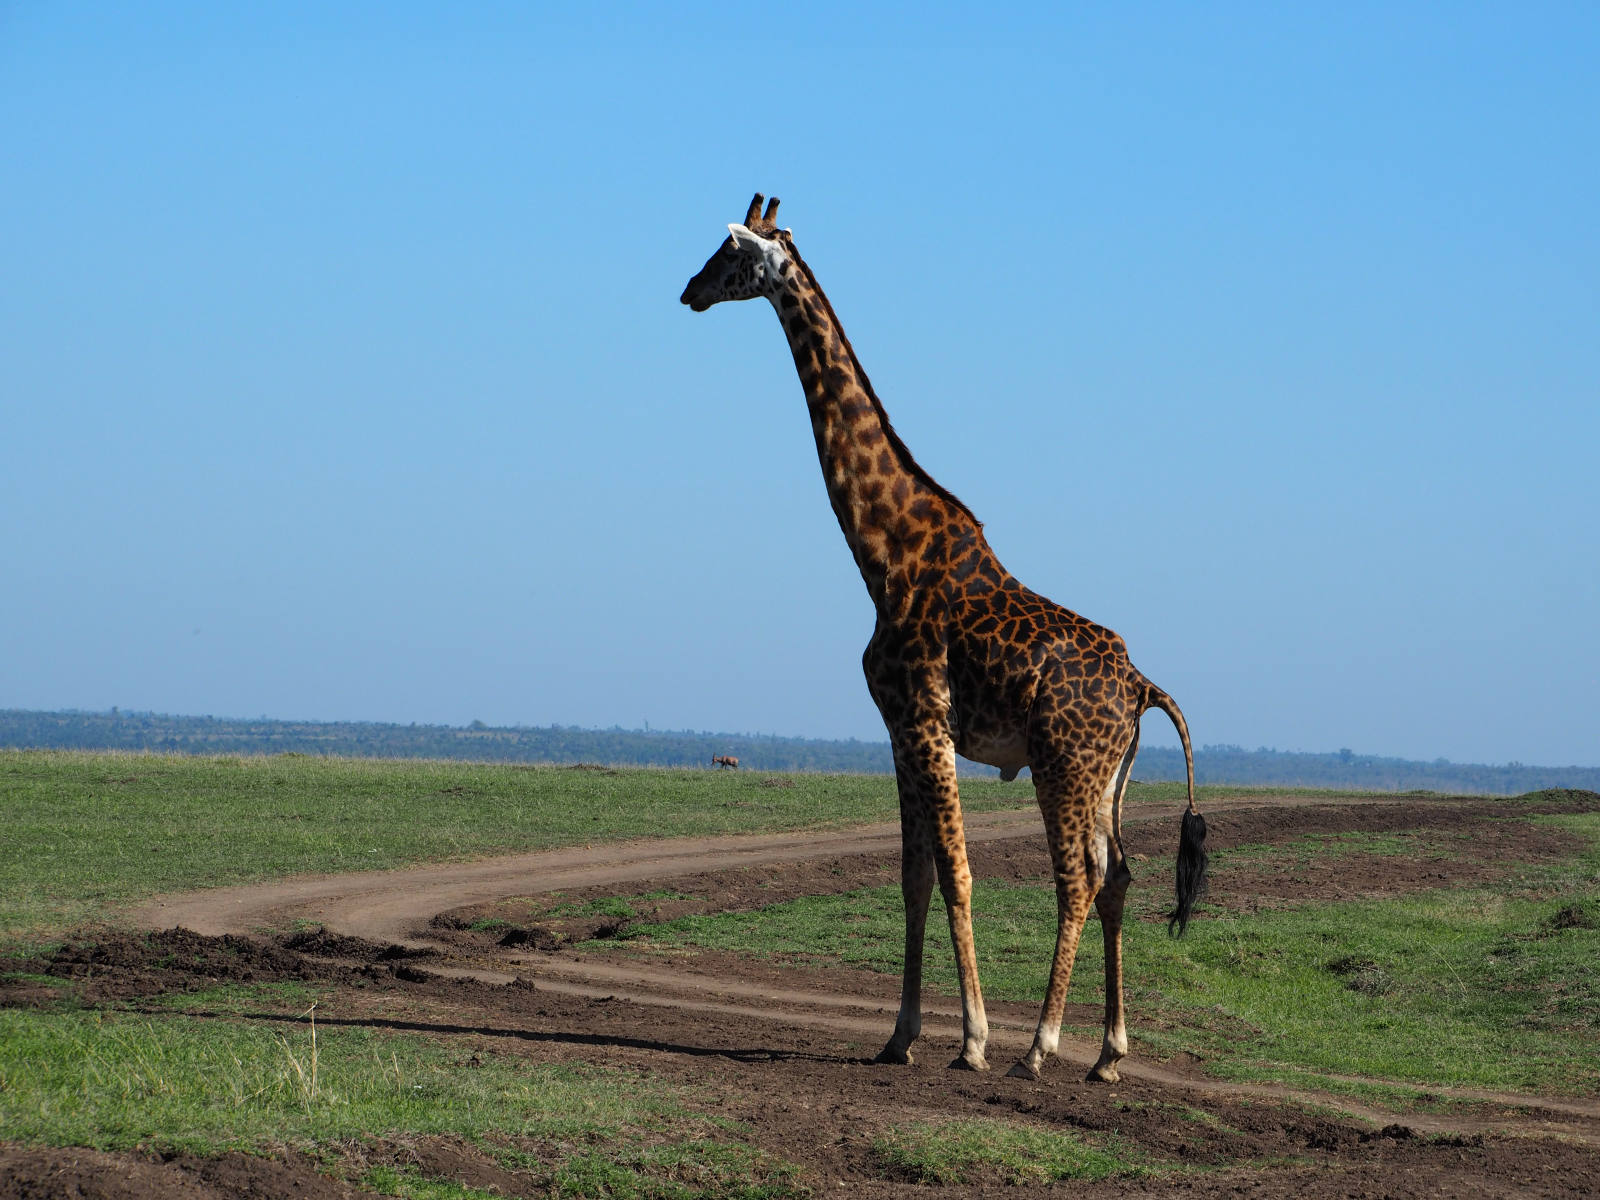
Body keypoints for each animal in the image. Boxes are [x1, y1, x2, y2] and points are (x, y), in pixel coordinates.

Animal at [680, 194, 1207, 1082]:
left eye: (731, 253)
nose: (687, 291)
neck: (884, 553)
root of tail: (1142, 686)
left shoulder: (925, 717)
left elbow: (958, 875)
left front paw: (973, 1039)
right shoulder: (898, 729)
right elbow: (913, 877)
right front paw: (898, 1036)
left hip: (1063, 764)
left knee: (1077, 880)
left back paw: (1039, 1046)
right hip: (1109, 777)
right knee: (1121, 877)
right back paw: (1107, 1053)